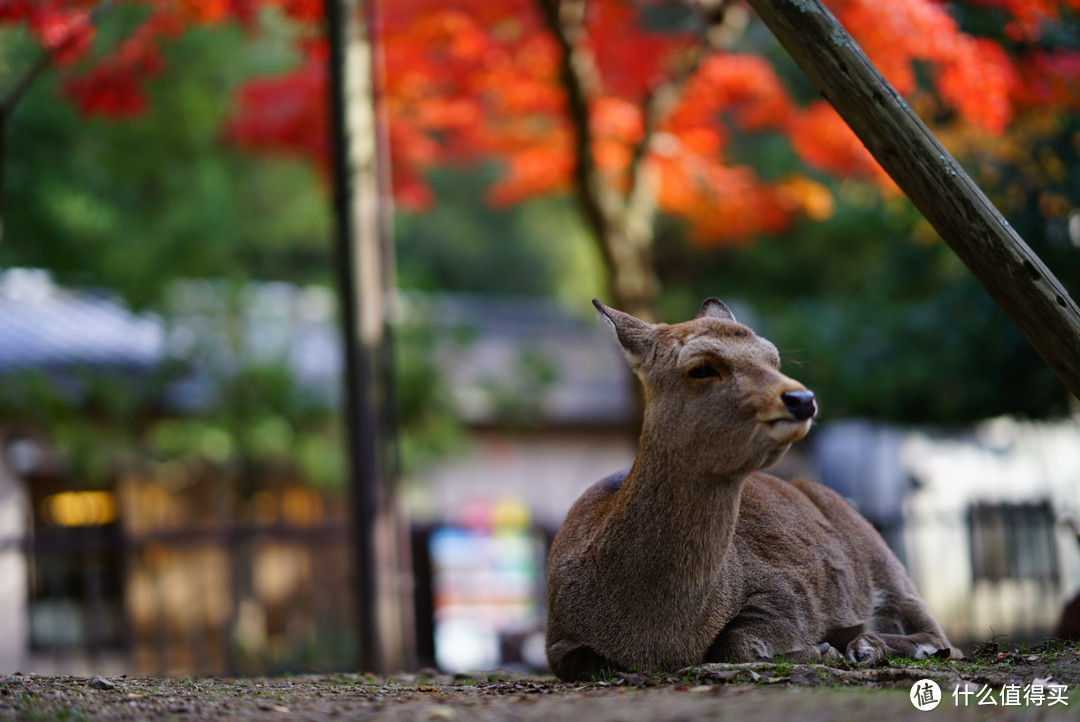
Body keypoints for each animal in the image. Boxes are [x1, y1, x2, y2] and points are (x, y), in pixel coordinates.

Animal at [544, 297, 959, 682]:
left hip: (882, 558)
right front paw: (821, 649)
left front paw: (820, 649)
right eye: (701, 368)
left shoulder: (789, 592)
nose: (802, 399)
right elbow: (583, 661)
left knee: (941, 637)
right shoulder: (557, 640)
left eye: (773, 359)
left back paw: (866, 646)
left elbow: (734, 642)